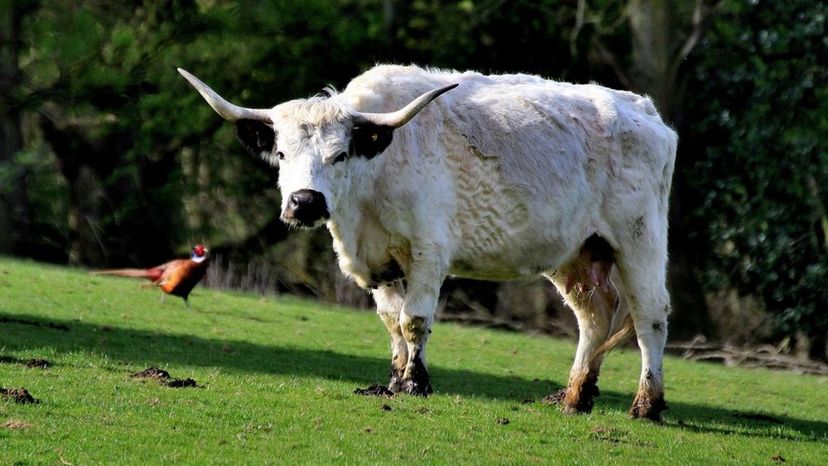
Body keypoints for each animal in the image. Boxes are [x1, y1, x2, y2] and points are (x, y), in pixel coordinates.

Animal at [178, 66, 676, 422]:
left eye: (340, 155)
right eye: (281, 153)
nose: (305, 202)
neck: (373, 179)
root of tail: (644, 110)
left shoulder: (427, 253)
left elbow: (414, 321)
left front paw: (416, 383)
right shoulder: (380, 264)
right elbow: (391, 322)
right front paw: (394, 380)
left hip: (640, 239)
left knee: (649, 316)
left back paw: (646, 404)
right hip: (577, 253)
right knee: (594, 316)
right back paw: (575, 396)